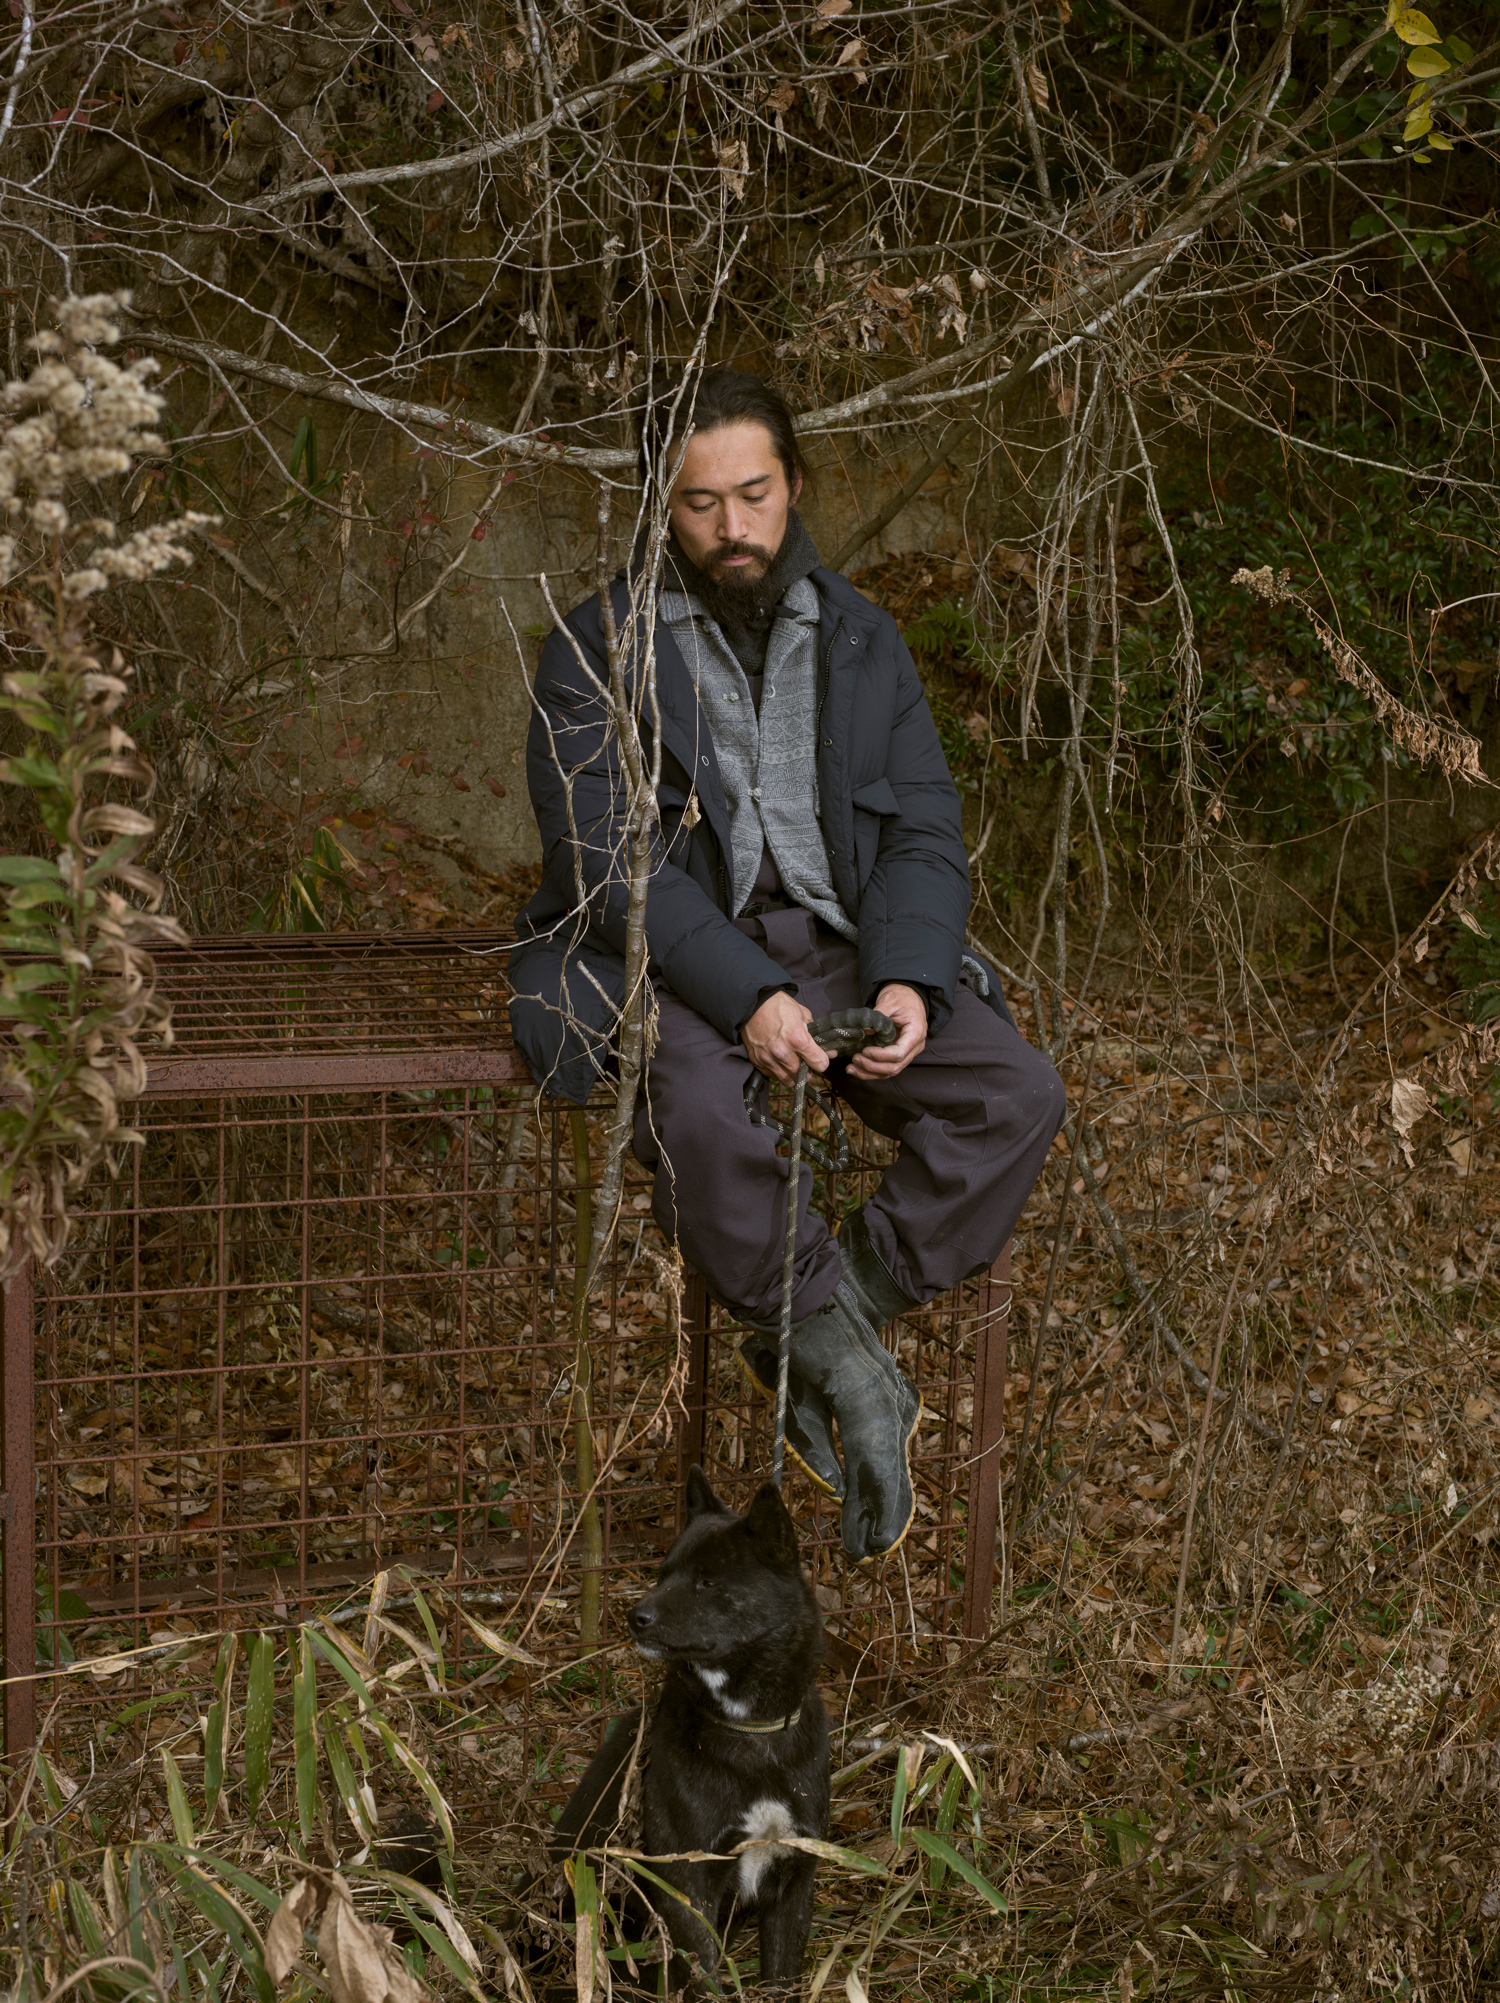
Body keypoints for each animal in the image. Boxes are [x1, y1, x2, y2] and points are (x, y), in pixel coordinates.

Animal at [550, 1466, 829, 1996]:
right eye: (663, 1573)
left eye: (707, 1581)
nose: (635, 1617)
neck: (750, 1730)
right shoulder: (688, 1883)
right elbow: (703, 1979)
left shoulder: (794, 1878)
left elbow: (780, 1978)